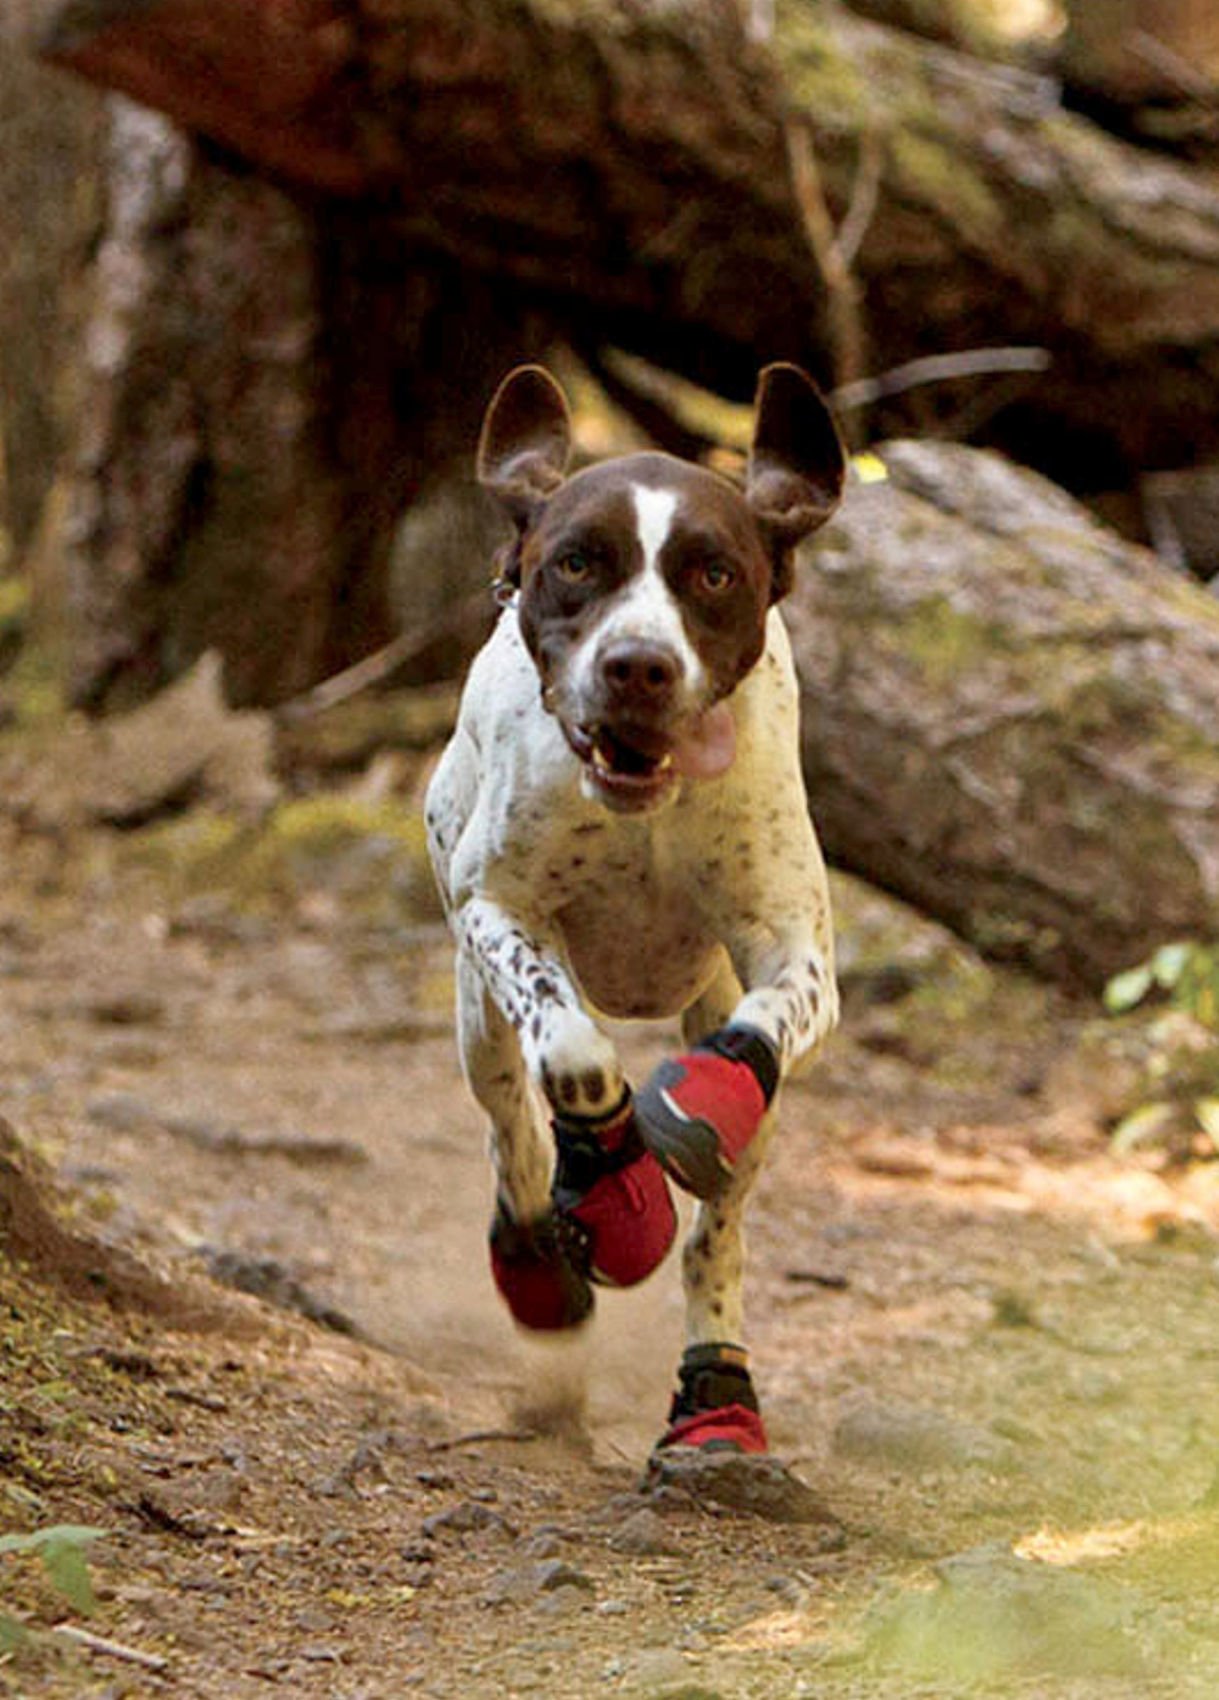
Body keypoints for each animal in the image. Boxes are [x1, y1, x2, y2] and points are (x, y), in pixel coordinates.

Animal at [428, 365, 846, 1455]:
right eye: (577, 563)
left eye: (713, 575)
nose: (638, 666)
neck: (642, 806)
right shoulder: (499, 909)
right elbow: (572, 1051)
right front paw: (615, 1186)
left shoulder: (792, 948)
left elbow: (764, 1029)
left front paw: (698, 1100)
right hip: (476, 1020)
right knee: (512, 1134)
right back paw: (539, 1260)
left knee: (718, 1235)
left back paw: (717, 1393)